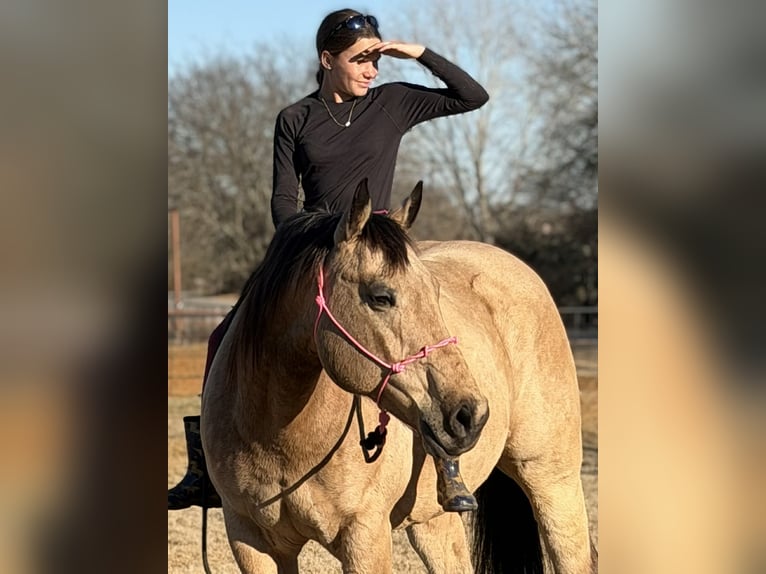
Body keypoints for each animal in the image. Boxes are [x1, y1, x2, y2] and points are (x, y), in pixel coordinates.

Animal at [201, 180, 597, 573]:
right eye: (380, 296)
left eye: (435, 292)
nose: (470, 414)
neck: (282, 437)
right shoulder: (250, 539)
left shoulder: (365, 536)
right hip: (432, 520)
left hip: (552, 481)